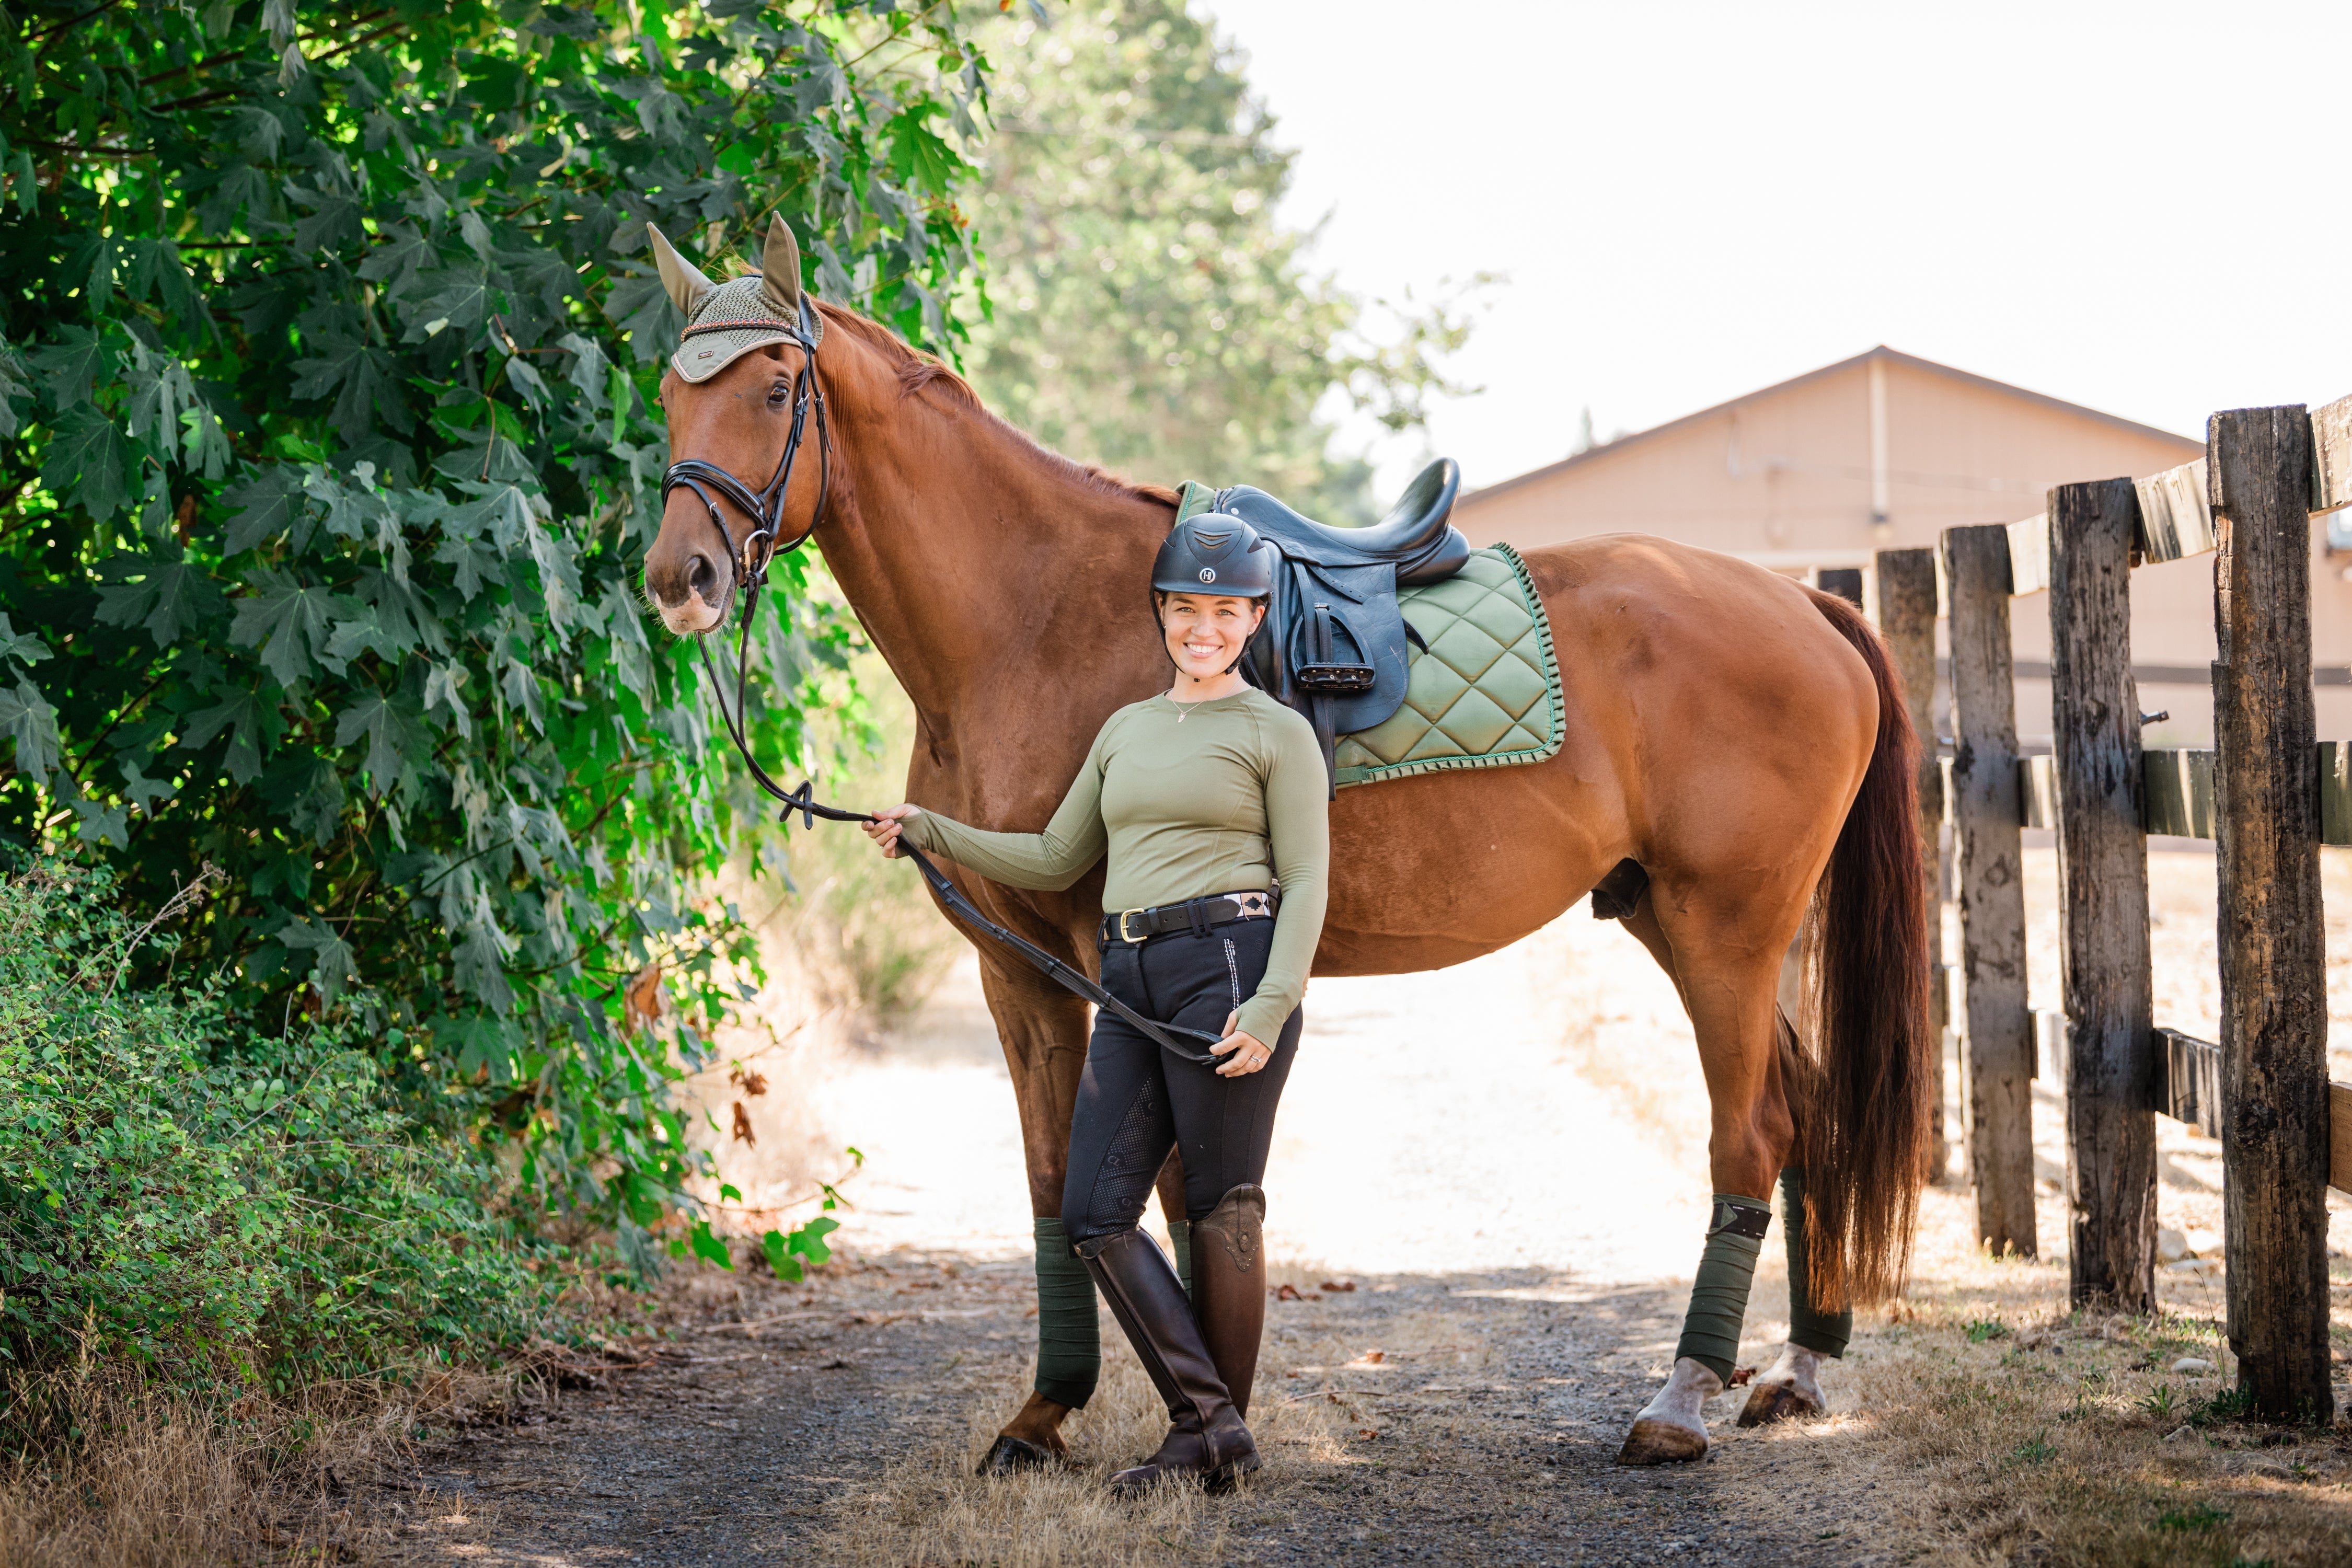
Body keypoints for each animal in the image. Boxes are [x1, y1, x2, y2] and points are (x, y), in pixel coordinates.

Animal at [644, 227, 1929, 1467]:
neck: (1035, 619)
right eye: (665, 391)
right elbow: (1060, 1191)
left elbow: (1173, 1190)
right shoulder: (1018, 975)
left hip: (1728, 927)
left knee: (1750, 1135)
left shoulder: (1121, 976)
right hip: (1672, 916)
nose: (679, 577)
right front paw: (1049, 1414)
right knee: (1805, 1108)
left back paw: (1680, 1403)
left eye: (774, 388)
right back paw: (1797, 1370)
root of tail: (1803, 603)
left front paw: (1205, 1416)